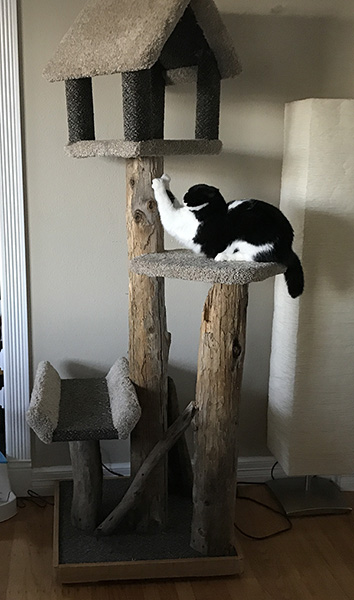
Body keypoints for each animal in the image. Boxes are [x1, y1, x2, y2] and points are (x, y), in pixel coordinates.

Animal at [151, 173, 302, 298]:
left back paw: (223, 256)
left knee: (254, 257)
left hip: (248, 240)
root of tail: (288, 245)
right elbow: (171, 199)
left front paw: (158, 183)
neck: (211, 211)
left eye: (191, 192)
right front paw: (165, 180)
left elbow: (165, 201)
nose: (184, 196)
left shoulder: (175, 219)